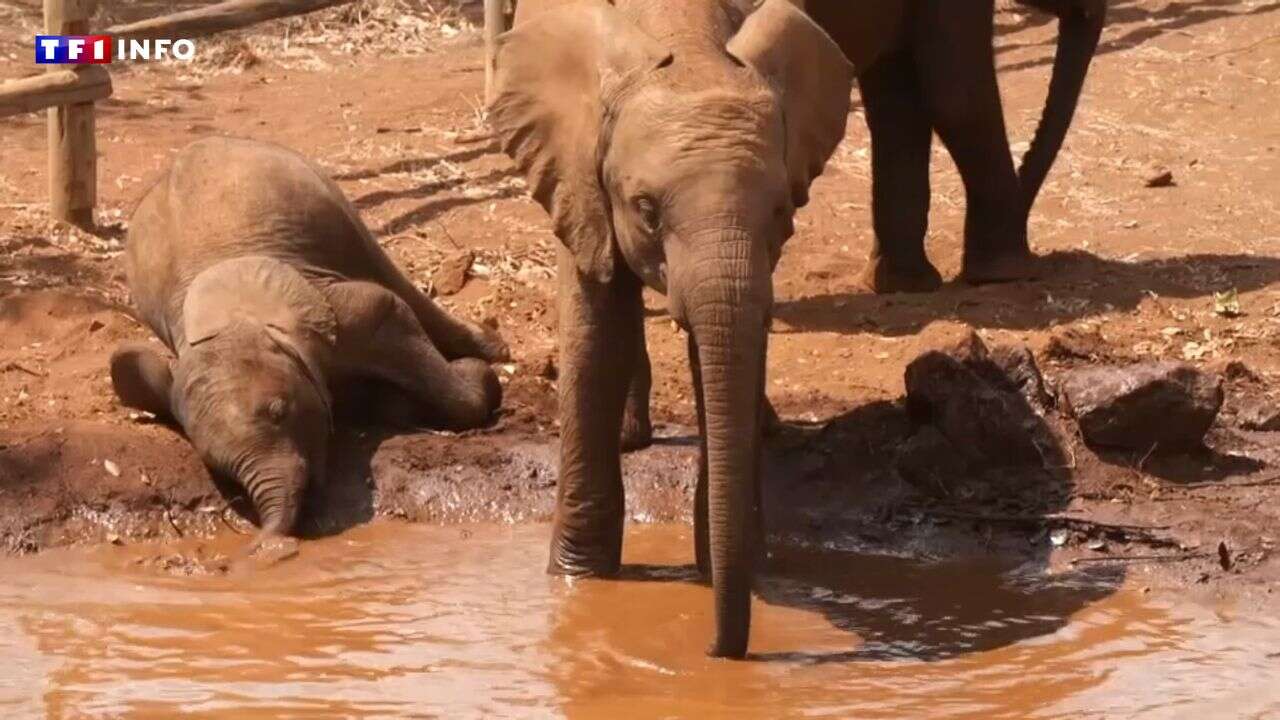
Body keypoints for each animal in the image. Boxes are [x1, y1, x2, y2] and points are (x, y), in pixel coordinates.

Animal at [110, 139, 506, 556]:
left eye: (280, 412)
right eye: (215, 465)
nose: (263, 549)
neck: (238, 323)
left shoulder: (337, 314)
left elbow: (383, 306)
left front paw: (477, 376)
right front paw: (388, 403)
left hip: (332, 202)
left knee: (388, 275)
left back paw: (491, 349)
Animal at [488, 0, 860, 655]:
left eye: (781, 210)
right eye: (646, 210)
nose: (714, 651)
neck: (685, 44)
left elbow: (735, 340)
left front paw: (734, 566)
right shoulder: (577, 174)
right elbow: (597, 335)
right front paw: (579, 580)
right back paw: (631, 438)